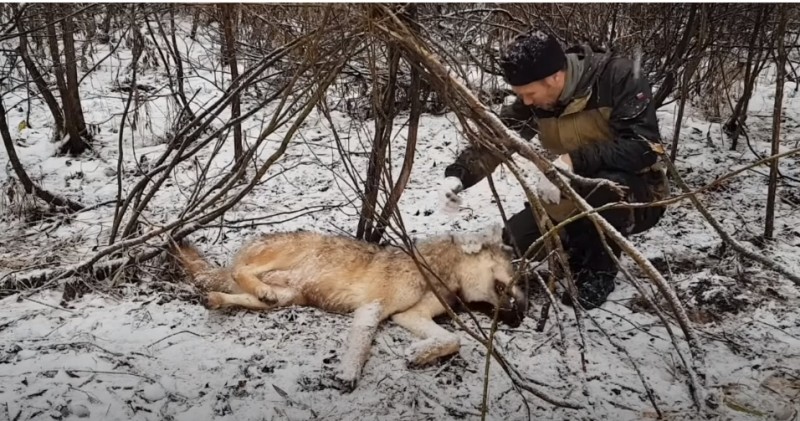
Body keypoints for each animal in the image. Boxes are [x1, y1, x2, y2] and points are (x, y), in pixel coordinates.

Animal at [172, 223, 528, 390]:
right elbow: (360, 345)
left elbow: (453, 339)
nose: (523, 311)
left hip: (287, 297)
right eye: (511, 278)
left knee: (237, 292)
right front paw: (347, 375)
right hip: (280, 259)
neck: (436, 272)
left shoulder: (407, 314)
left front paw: (418, 354)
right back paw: (249, 284)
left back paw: (218, 299)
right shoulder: (373, 307)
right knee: (240, 272)